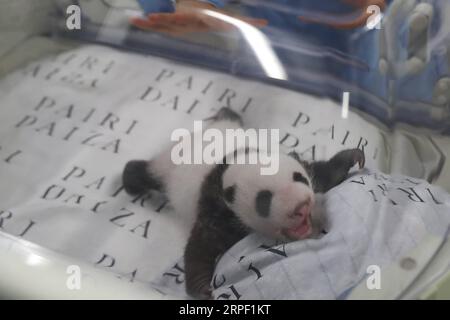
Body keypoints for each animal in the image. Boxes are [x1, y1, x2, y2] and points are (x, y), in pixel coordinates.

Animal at [121, 108, 364, 300]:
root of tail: (192, 135)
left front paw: (353, 157)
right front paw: (202, 288)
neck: (235, 159)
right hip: (166, 170)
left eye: (299, 178)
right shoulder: (216, 207)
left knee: (231, 116)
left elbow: (323, 174)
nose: (301, 206)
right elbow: (200, 246)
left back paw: (227, 111)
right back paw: (130, 179)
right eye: (264, 199)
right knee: (144, 173)